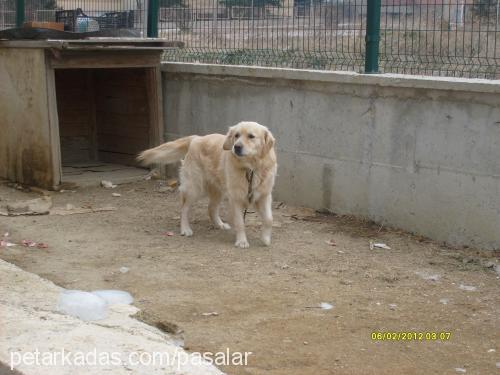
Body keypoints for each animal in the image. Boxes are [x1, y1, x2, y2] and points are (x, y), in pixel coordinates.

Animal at [138, 122, 278, 248]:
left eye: (251, 136)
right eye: (236, 135)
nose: (236, 147)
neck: (251, 168)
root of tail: (196, 138)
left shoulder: (264, 195)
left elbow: (269, 219)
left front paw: (265, 239)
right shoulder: (236, 198)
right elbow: (240, 222)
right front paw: (242, 241)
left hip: (218, 190)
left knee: (211, 208)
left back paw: (219, 224)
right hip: (194, 188)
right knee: (184, 208)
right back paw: (185, 229)